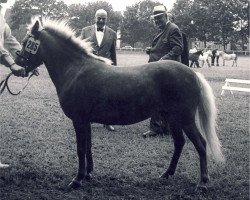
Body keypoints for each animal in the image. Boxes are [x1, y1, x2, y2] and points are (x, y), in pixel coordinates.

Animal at [14, 18, 224, 190]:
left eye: (25, 43)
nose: (17, 66)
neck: (76, 70)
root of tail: (193, 73)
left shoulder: (79, 120)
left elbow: (80, 148)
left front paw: (77, 179)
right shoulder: (86, 121)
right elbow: (88, 147)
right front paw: (88, 174)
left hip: (185, 118)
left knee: (200, 144)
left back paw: (203, 182)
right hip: (173, 118)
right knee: (179, 143)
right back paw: (167, 174)